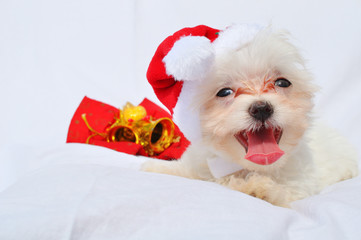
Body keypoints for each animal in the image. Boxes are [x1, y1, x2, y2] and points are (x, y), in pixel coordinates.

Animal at [141, 25, 358, 207]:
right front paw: (158, 169)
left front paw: (257, 189)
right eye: (224, 92)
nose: (261, 108)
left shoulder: (299, 184)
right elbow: (184, 171)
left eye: (282, 83)